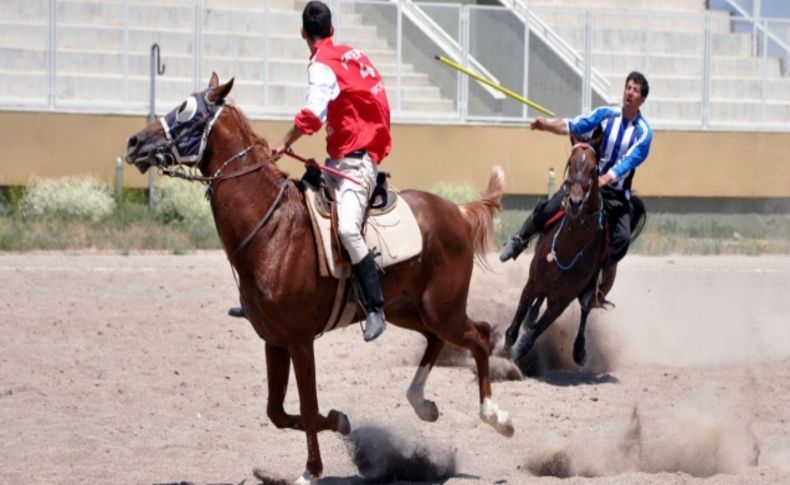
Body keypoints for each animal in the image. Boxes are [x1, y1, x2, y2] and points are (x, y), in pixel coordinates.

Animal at [124, 73, 512, 482]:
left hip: (441, 309)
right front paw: (339, 421)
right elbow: (277, 412)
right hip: (406, 310)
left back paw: (497, 418)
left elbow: (307, 407)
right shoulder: (274, 340)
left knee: (479, 335)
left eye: (186, 112)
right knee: (438, 340)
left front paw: (311, 470)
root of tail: (458, 210)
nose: (134, 142)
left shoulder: (299, 339)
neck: (271, 228)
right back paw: (423, 405)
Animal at [504, 142, 608, 368]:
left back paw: (579, 351)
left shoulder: (562, 300)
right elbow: (514, 328)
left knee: (585, 308)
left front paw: (512, 359)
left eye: (594, 169)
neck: (568, 247)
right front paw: (505, 350)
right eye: (570, 163)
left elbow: (530, 337)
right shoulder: (533, 282)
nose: (575, 202)